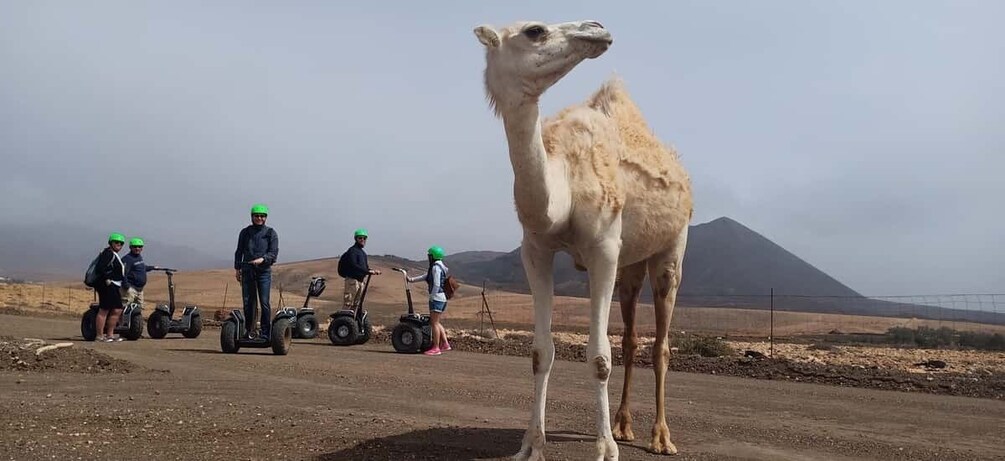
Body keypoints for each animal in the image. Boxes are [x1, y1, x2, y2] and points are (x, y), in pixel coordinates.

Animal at [474, 19, 695, 459]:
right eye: (535, 30)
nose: (597, 28)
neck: (564, 185)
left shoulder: (603, 249)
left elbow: (599, 356)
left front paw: (604, 448)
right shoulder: (535, 249)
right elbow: (541, 352)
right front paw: (532, 444)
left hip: (673, 245)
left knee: (661, 343)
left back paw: (660, 437)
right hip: (631, 264)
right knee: (631, 336)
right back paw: (625, 426)